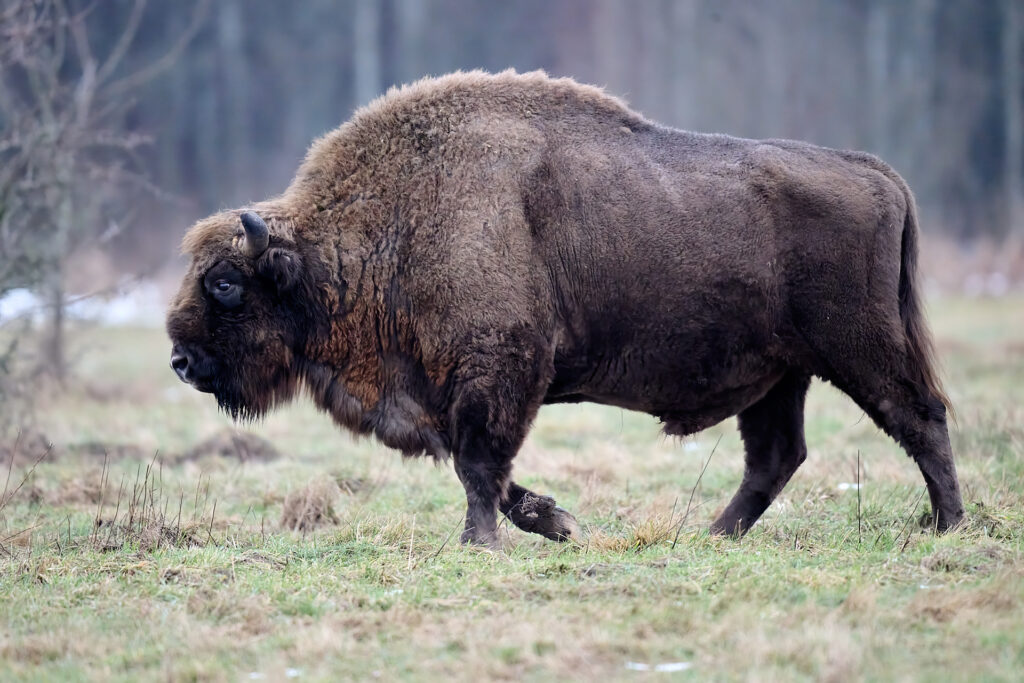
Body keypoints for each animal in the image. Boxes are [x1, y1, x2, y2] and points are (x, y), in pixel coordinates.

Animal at [166, 70, 964, 547]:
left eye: (226, 283)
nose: (180, 359)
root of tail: (877, 173)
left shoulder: (499, 371)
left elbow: (479, 463)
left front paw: (481, 541)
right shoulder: (447, 394)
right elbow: (478, 467)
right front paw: (554, 522)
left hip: (860, 349)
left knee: (919, 417)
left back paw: (947, 523)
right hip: (780, 374)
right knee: (777, 455)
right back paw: (714, 534)